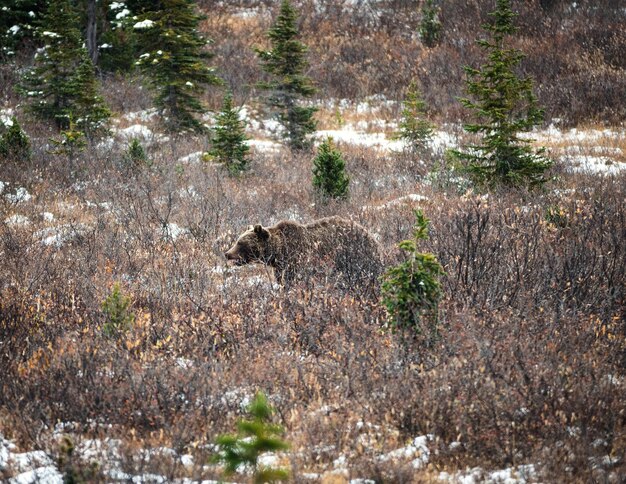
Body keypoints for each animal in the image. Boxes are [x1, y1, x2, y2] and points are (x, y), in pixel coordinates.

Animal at [223, 218, 380, 294]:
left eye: (240, 242)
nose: (227, 253)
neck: (279, 252)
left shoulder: (297, 259)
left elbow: (294, 279)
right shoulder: (280, 267)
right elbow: (282, 280)